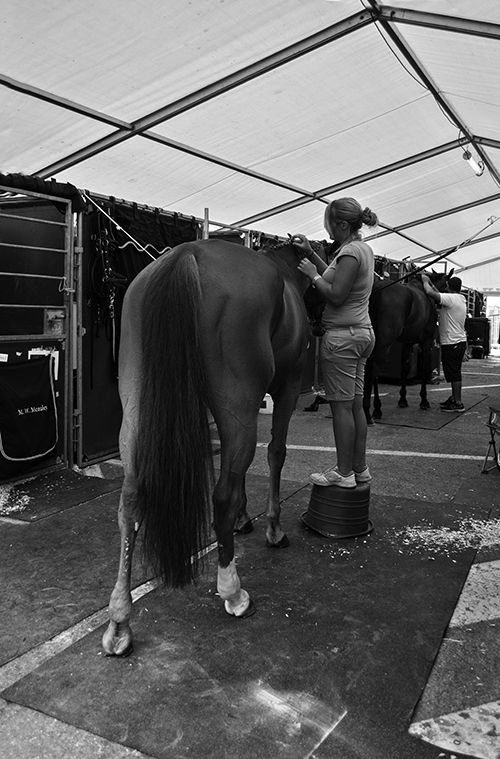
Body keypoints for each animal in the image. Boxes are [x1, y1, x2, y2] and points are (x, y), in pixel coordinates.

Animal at [102, 238, 312, 656]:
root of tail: (187, 254)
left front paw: (245, 520)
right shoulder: (289, 387)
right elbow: (274, 453)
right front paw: (272, 529)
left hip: (136, 402)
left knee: (130, 501)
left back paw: (119, 621)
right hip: (238, 402)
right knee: (223, 494)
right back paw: (233, 592)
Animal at [362, 269, 452, 425]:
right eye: (446, 285)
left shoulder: (407, 343)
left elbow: (405, 368)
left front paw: (403, 399)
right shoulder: (426, 341)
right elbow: (424, 369)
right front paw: (424, 400)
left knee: (372, 370)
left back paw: (375, 408)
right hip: (384, 343)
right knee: (373, 369)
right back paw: (370, 411)